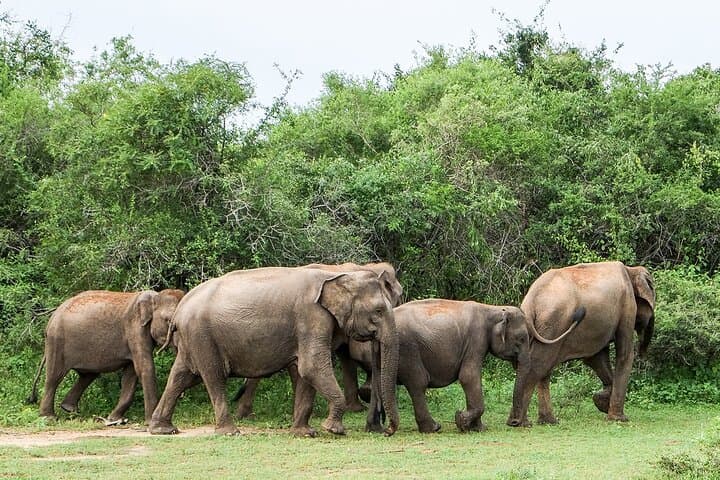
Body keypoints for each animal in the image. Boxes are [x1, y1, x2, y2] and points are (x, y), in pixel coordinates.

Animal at [28, 289, 185, 424]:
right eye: (168, 321)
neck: (154, 297)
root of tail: (52, 315)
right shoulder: (135, 329)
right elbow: (145, 368)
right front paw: (149, 422)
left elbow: (130, 374)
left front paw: (113, 419)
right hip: (57, 341)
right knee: (54, 377)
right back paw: (49, 418)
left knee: (88, 375)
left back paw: (68, 409)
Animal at [353, 299, 531, 433]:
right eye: (522, 338)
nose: (515, 423)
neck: (494, 309)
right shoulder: (476, 339)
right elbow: (468, 376)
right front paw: (461, 420)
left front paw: (478, 428)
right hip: (408, 350)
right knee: (417, 382)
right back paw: (433, 428)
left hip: (379, 351)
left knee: (377, 383)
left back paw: (374, 429)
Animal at [507, 261, 655, 427]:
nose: (643, 353)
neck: (631, 270)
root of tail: (531, 301)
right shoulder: (627, 305)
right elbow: (624, 354)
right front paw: (619, 419)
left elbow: (595, 358)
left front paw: (601, 402)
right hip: (554, 324)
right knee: (539, 364)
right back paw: (520, 423)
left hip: (541, 328)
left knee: (542, 367)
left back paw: (546, 421)